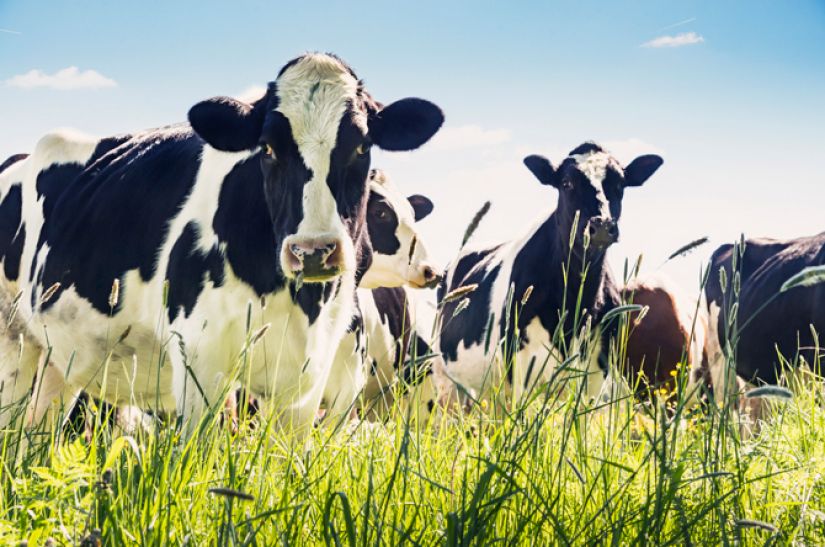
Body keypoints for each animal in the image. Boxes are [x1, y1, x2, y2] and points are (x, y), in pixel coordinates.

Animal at [0, 52, 444, 436]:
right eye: (268, 147)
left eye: (362, 146)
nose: (313, 252)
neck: (299, 303)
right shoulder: (201, 360)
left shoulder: (313, 383)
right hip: (12, 342)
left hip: (59, 356)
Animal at [434, 143, 660, 408]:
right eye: (566, 183)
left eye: (619, 185)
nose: (602, 225)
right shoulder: (519, 367)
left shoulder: (597, 370)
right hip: (446, 378)